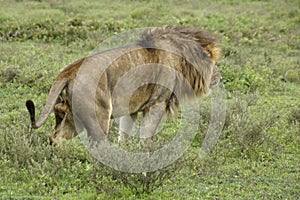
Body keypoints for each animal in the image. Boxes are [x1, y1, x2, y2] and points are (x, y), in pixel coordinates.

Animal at [25, 25, 221, 146]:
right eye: (214, 63)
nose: (219, 77)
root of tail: (69, 70)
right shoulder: (156, 103)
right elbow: (146, 135)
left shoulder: (131, 107)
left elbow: (125, 134)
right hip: (99, 116)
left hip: (71, 117)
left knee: (54, 137)